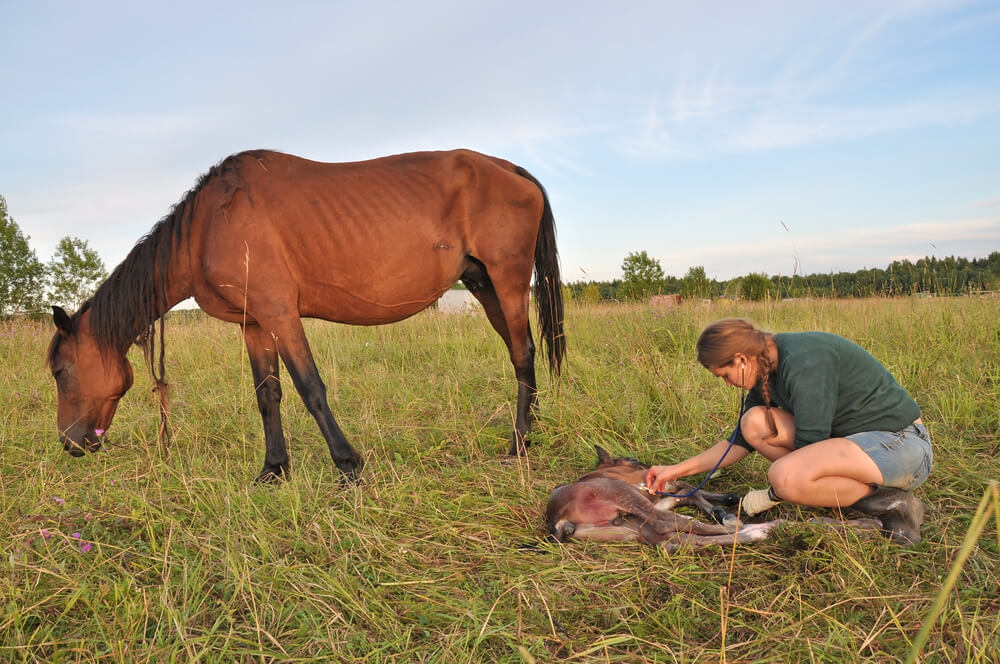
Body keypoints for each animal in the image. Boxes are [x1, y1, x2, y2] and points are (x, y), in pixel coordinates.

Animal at [47, 149, 564, 482]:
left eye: (60, 370)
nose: (70, 444)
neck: (208, 226)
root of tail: (510, 169)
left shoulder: (280, 314)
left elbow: (310, 388)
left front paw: (348, 465)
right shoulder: (254, 324)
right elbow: (268, 395)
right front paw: (274, 470)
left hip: (508, 281)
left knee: (523, 352)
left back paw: (519, 444)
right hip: (484, 286)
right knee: (520, 353)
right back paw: (529, 433)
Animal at [544, 448, 776, 552]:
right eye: (630, 458)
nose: (641, 461)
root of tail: (557, 521)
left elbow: (688, 491)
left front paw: (725, 503)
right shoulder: (653, 489)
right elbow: (688, 487)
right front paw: (723, 508)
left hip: (629, 528)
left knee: (684, 540)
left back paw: (758, 531)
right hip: (626, 498)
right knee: (671, 522)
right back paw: (753, 527)